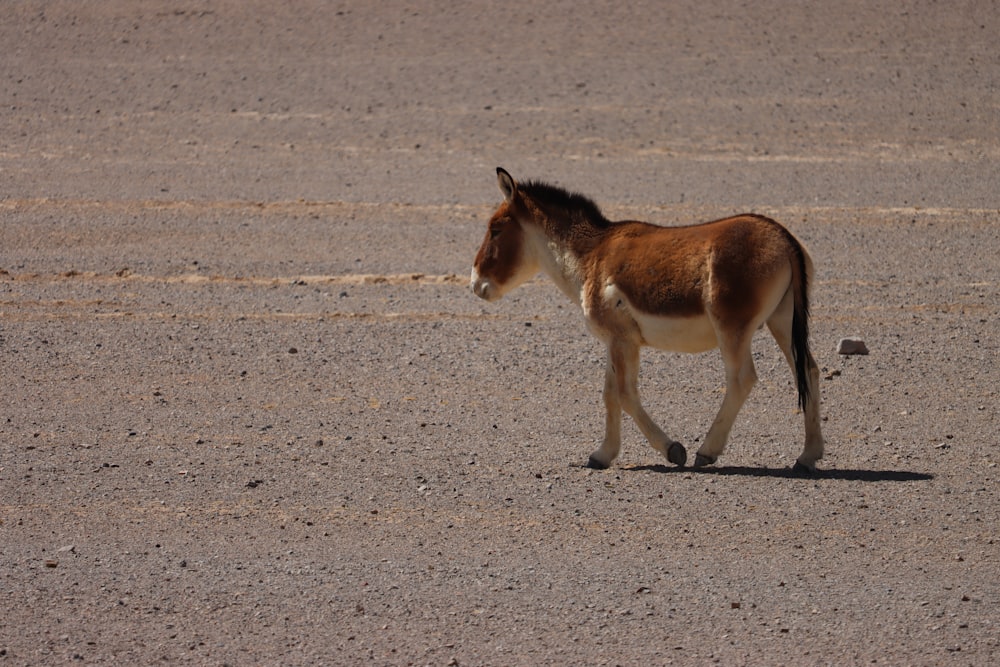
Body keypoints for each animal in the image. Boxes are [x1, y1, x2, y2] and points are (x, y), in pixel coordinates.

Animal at [472, 167, 824, 472]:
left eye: (496, 229)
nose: (476, 284)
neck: (591, 254)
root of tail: (783, 237)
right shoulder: (616, 342)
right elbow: (610, 394)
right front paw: (603, 454)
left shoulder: (622, 340)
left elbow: (625, 394)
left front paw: (673, 450)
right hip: (781, 321)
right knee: (808, 369)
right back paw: (808, 456)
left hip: (732, 329)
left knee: (742, 379)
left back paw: (707, 451)